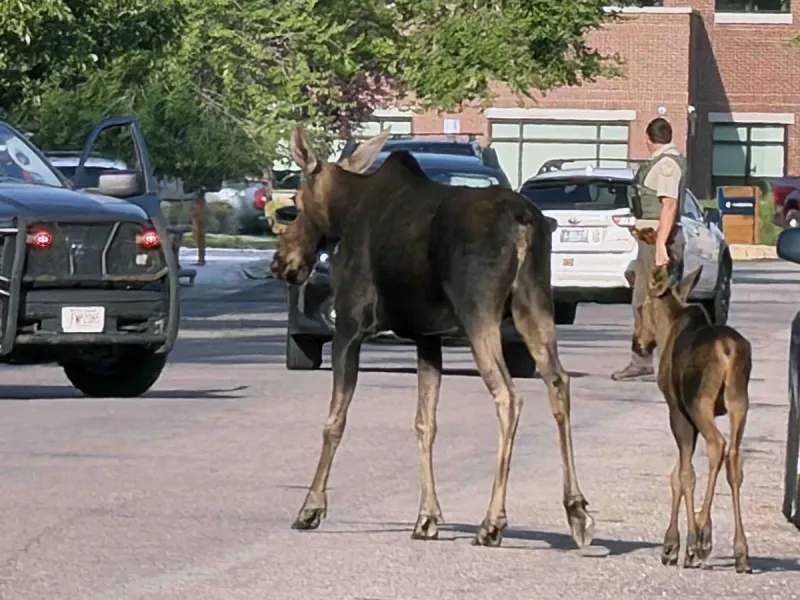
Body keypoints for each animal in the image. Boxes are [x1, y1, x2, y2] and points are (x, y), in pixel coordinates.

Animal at [269, 126, 594, 549]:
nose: (280, 262)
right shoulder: (428, 338)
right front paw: (427, 517)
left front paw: (311, 508)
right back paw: (576, 510)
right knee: (558, 381)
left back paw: (492, 522)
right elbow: (425, 424)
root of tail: (524, 223)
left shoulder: (350, 327)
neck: (345, 213)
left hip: (479, 313)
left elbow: (334, 421)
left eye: (294, 202)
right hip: (534, 305)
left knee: (509, 396)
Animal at [635, 227, 751, 573]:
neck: (668, 326)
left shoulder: (677, 409)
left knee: (718, 446)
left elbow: (684, 475)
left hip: (701, 403)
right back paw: (740, 550)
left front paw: (676, 544)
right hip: (739, 401)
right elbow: (679, 473)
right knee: (734, 457)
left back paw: (698, 541)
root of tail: (727, 350)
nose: (638, 342)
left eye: (639, 309)